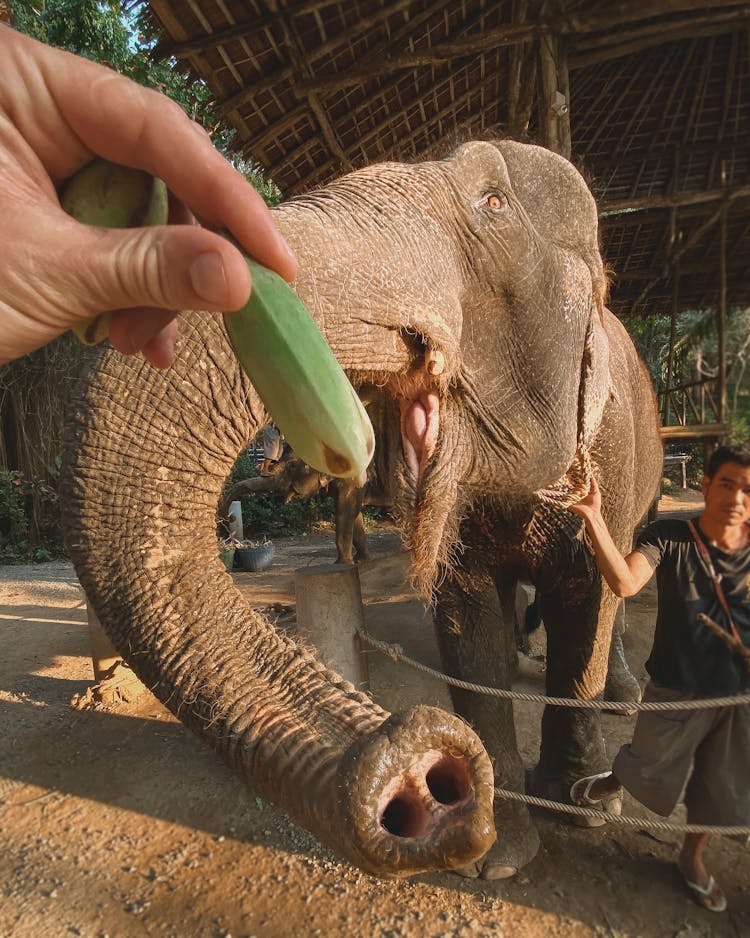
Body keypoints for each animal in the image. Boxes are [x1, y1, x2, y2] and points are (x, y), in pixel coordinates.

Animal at [63, 137, 664, 876]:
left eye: (494, 202)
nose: (422, 774)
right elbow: (466, 618)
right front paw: (495, 859)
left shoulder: (611, 452)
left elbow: (588, 602)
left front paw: (580, 807)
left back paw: (619, 702)